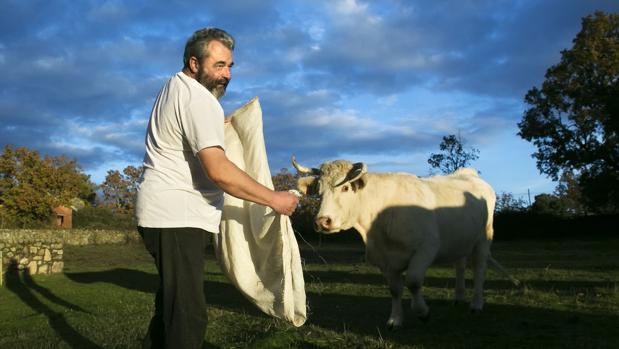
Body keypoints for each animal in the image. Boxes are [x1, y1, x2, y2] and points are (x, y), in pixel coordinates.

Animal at [294, 156, 520, 328]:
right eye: (319, 192)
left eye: (346, 188)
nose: (322, 221)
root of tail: (469, 175)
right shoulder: (385, 260)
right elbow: (395, 289)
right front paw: (395, 320)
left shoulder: (426, 249)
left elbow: (413, 281)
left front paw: (422, 312)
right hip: (460, 240)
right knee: (460, 265)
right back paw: (459, 297)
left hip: (483, 238)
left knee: (480, 269)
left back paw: (476, 304)